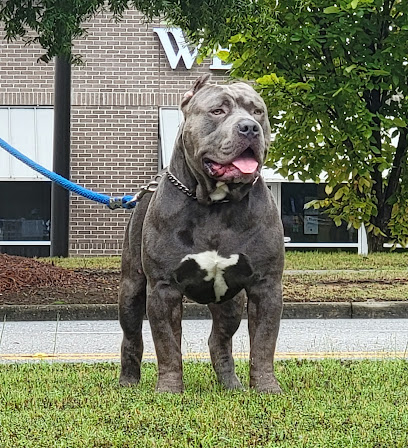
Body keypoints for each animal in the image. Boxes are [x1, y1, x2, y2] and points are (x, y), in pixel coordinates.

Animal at [118, 75, 284, 394]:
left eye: (257, 111)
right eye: (218, 111)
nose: (249, 127)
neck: (215, 204)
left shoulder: (266, 286)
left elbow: (263, 344)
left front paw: (266, 388)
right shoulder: (163, 288)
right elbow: (167, 344)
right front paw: (169, 389)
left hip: (231, 303)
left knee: (219, 340)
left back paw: (231, 384)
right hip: (131, 290)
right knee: (131, 337)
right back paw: (128, 382)